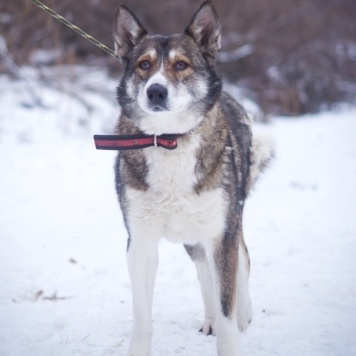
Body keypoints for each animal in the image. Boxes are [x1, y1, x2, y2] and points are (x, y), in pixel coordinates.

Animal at [111, 1, 272, 354]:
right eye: (144, 65)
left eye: (181, 65)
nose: (156, 91)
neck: (169, 140)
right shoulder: (140, 242)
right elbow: (142, 318)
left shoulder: (222, 236)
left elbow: (227, 311)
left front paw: (232, 329)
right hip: (193, 237)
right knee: (203, 271)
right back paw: (210, 317)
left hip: (229, 221)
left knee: (242, 264)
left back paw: (244, 313)